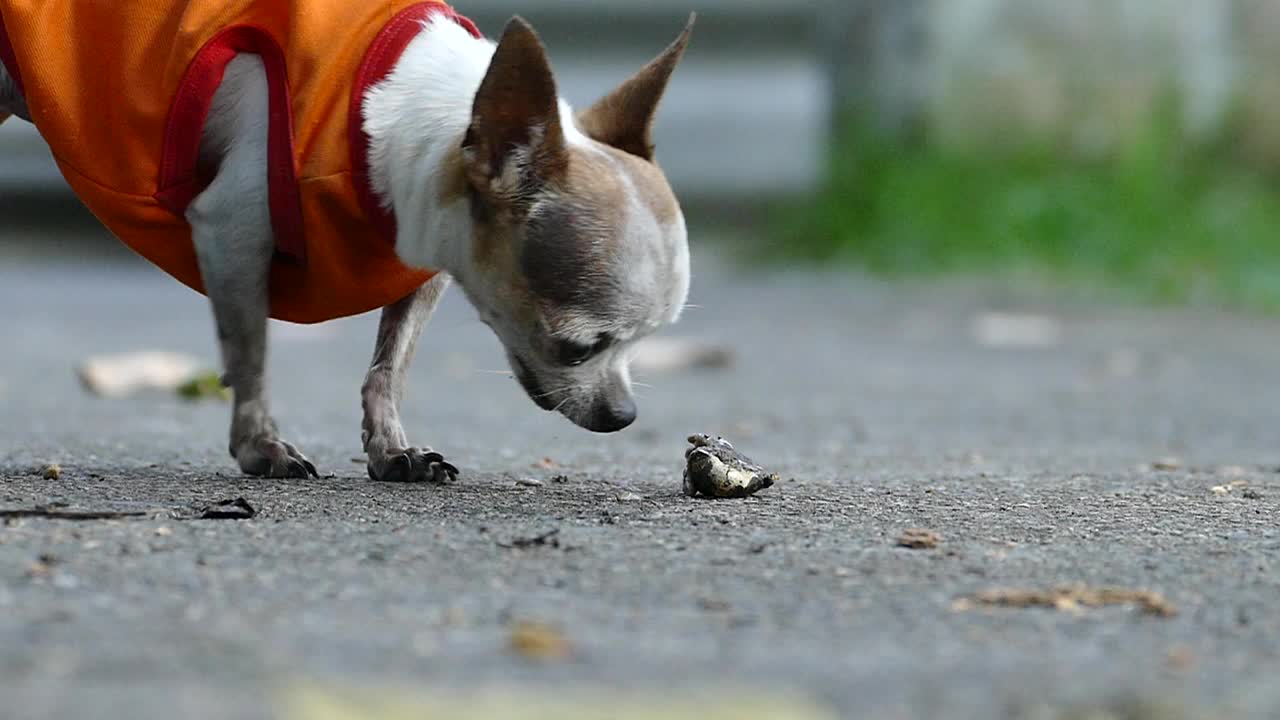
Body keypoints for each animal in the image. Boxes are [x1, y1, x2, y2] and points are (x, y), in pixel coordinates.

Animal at [0, 4, 691, 481]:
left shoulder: (424, 268)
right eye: (577, 348)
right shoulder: (233, 231)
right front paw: (260, 447)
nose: (624, 415)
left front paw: (392, 452)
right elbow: (251, 355)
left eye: (648, 341)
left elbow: (389, 367)